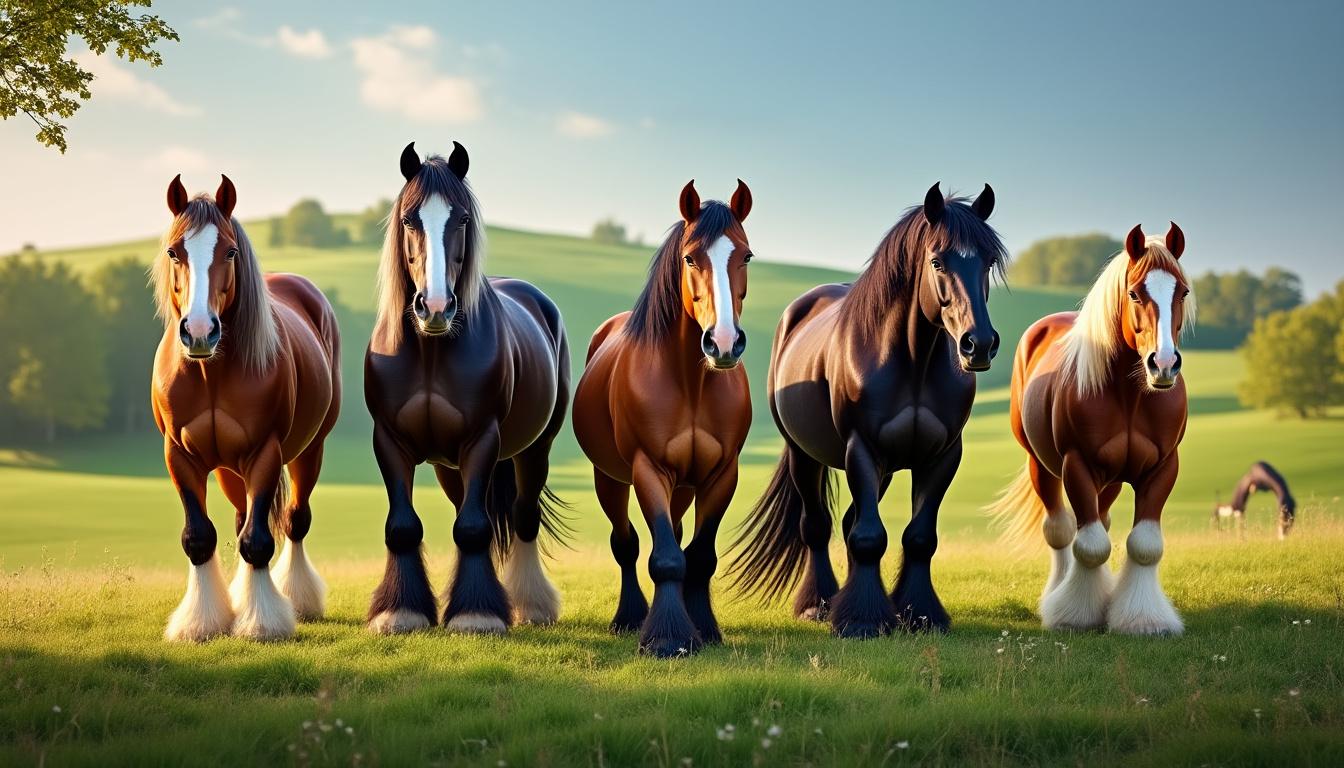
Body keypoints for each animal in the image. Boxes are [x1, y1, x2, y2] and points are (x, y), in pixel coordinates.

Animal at [151, 174, 341, 642]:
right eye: (174, 251)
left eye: (230, 251)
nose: (200, 331)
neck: (211, 373)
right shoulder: (179, 456)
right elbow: (200, 537)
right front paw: (201, 622)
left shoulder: (265, 453)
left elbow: (259, 541)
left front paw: (262, 623)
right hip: (227, 469)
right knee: (241, 519)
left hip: (308, 451)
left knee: (294, 521)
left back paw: (300, 599)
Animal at [364, 142, 571, 635]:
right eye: (409, 219)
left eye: (460, 219)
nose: (435, 307)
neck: (430, 352)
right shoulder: (389, 441)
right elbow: (404, 525)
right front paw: (400, 611)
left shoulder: (482, 439)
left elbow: (474, 527)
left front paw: (477, 613)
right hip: (450, 467)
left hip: (535, 450)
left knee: (522, 517)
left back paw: (531, 605)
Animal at [572, 180, 754, 656]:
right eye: (690, 257)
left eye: (746, 256)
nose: (723, 343)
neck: (690, 382)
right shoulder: (648, 469)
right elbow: (666, 556)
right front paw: (668, 637)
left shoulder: (721, 474)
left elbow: (699, 555)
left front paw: (703, 627)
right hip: (610, 479)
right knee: (626, 544)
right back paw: (629, 618)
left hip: (684, 486)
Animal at [729, 183, 1003, 638]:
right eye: (937, 261)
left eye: (989, 261)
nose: (977, 344)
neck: (913, 361)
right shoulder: (862, 449)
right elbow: (869, 536)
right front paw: (862, 619)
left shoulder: (942, 456)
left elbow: (918, 537)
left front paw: (919, 613)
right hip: (805, 455)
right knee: (817, 526)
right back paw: (819, 604)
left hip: (886, 469)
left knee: (848, 524)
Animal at [989, 223, 1194, 635]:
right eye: (1134, 292)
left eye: (1182, 291)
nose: (1164, 364)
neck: (1129, 398)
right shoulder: (1077, 466)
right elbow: (1089, 545)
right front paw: (1074, 614)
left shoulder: (1163, 467)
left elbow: (1144, 545)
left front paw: (1143, 620)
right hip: (1042, 467)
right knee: (1061, 530)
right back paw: (1056, 593)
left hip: (1111, 480)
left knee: (1100, 520)